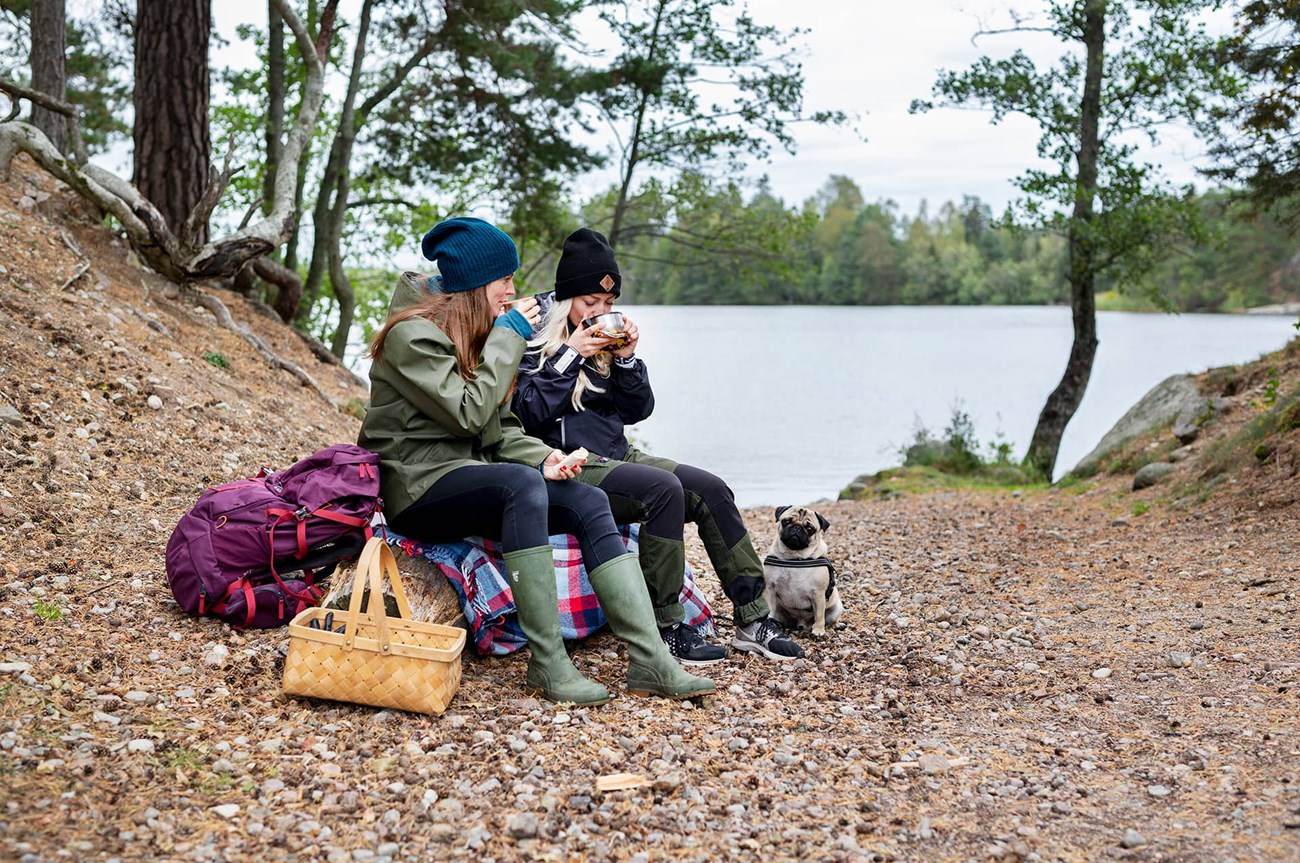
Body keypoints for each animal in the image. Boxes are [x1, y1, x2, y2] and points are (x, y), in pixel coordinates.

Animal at [759, 506, 842, 634]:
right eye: (786, 521)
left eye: (810, 528)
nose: (797, 527)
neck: (794, 556)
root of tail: (801, 624)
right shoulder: (770, 589)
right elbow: (769, 609)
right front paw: (768, 624)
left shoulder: (818, 594)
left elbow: (819, 614)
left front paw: (818, 630)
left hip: (837, 607)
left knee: (830, 620)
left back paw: (837, 625)